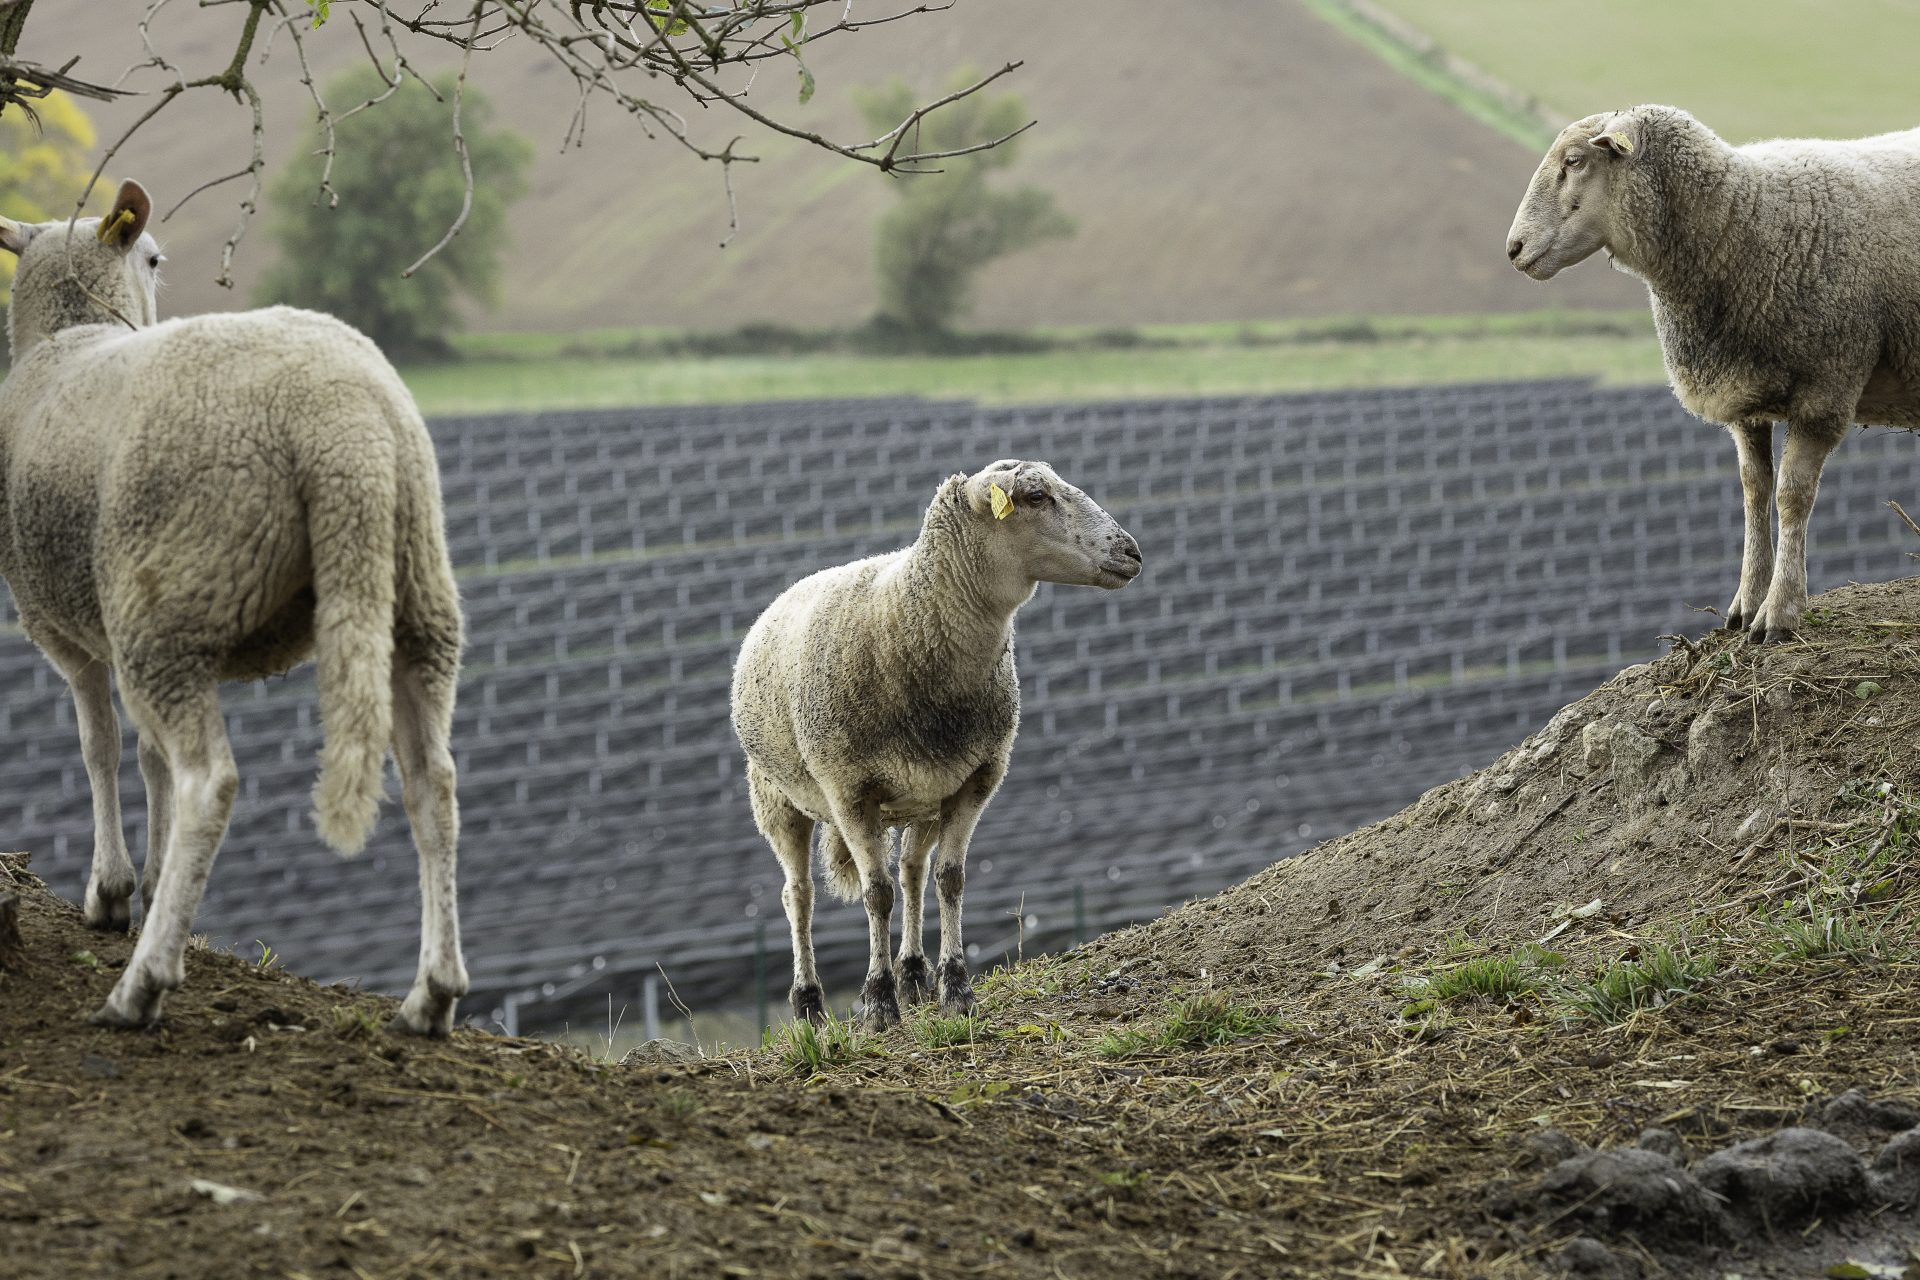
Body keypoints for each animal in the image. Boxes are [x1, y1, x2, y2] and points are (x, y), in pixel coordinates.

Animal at [0, 182, 470, 1043]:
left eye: (154, 259)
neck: (68, 334)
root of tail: (340, 424)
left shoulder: (69, 631)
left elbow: (100, 747)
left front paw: (113, 891)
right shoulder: (109, 619)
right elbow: (144, 755)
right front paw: (154, 882)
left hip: (173, 599)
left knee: (209, 782)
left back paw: (142, 985)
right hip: (413, 594)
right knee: (434, 781)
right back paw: (432, 995)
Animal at [725, 460, 1128, 1028]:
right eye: (1035, 497)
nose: (1131, 552)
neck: (906, 622)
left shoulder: (977, 779)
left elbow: (950, 879)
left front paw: (955, 989)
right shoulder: (847, 791)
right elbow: (876, 894)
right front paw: (878, 1002)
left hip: (924, 792)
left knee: (913, 872)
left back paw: (914, 975)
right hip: (775, 796)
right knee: (797, 895)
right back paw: (808, 1004)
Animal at [1505, 102, 1920, 640]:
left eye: (1574, 161)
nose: (1513, 249)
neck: (1745, 220)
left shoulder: (1826, 387)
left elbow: (1791, 497)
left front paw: (1779, 613)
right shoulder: (1744, 393)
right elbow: (1753, 489)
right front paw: (1745, 604)